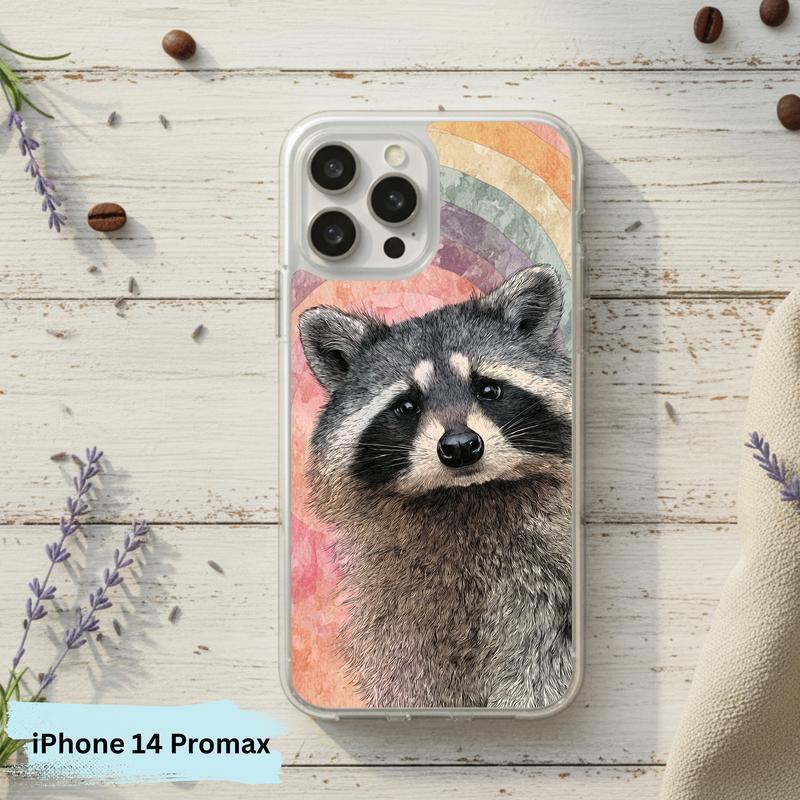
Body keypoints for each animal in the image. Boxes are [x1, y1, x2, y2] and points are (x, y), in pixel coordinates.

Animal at [298, 267, 574, 709]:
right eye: (407, 405)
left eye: (488, 389)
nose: (460, 447)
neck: (466, 496)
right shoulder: (403, 613)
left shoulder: (549, 599)